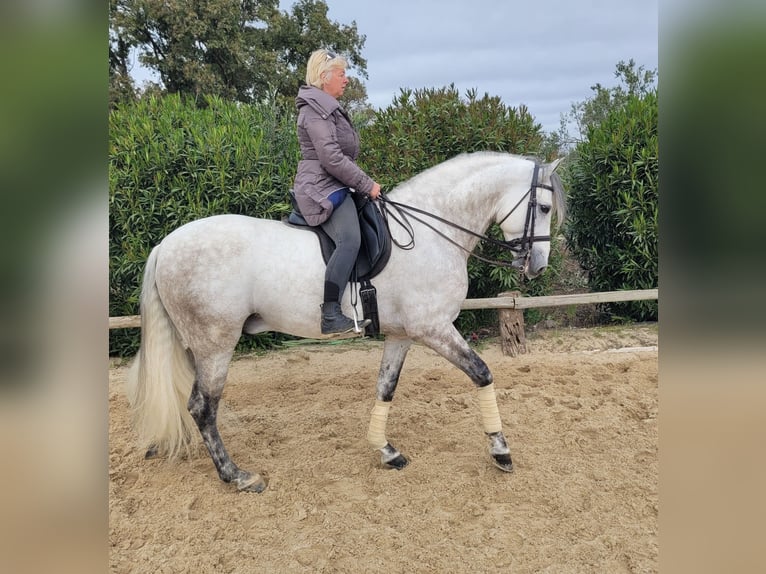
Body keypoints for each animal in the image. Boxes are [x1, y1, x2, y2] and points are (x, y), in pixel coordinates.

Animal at [129, 153, 568, 496]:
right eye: (545, 209)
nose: (537, 266)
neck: (433, 231)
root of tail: (165, 245)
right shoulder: (433, 329)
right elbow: (482, 373)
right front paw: (501, 451)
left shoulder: (402, 335)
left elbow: (385, 387)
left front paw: (386, 451)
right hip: (216, 344)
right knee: (203, 407)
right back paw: (236, 476)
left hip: (198, 346)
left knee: (193, 404)